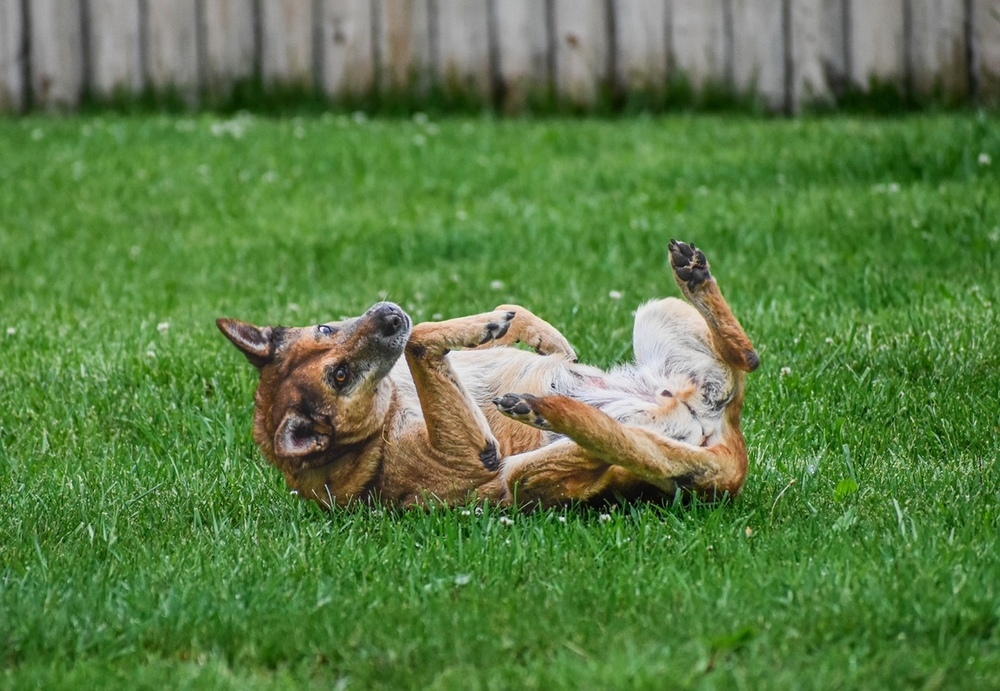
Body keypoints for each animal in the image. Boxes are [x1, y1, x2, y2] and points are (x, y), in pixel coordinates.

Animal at [217, 242, 756, 508]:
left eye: (326, 330)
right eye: (341, 376)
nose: (389, 316)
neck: (382, 421)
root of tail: (725, 449)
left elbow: (488, 319)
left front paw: (536, 334)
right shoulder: (472, 455)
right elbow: (421, 339)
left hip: (656, 312)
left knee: (746, 358)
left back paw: (694, 274)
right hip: (522, 476)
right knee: (639, 452)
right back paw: (546, 410)